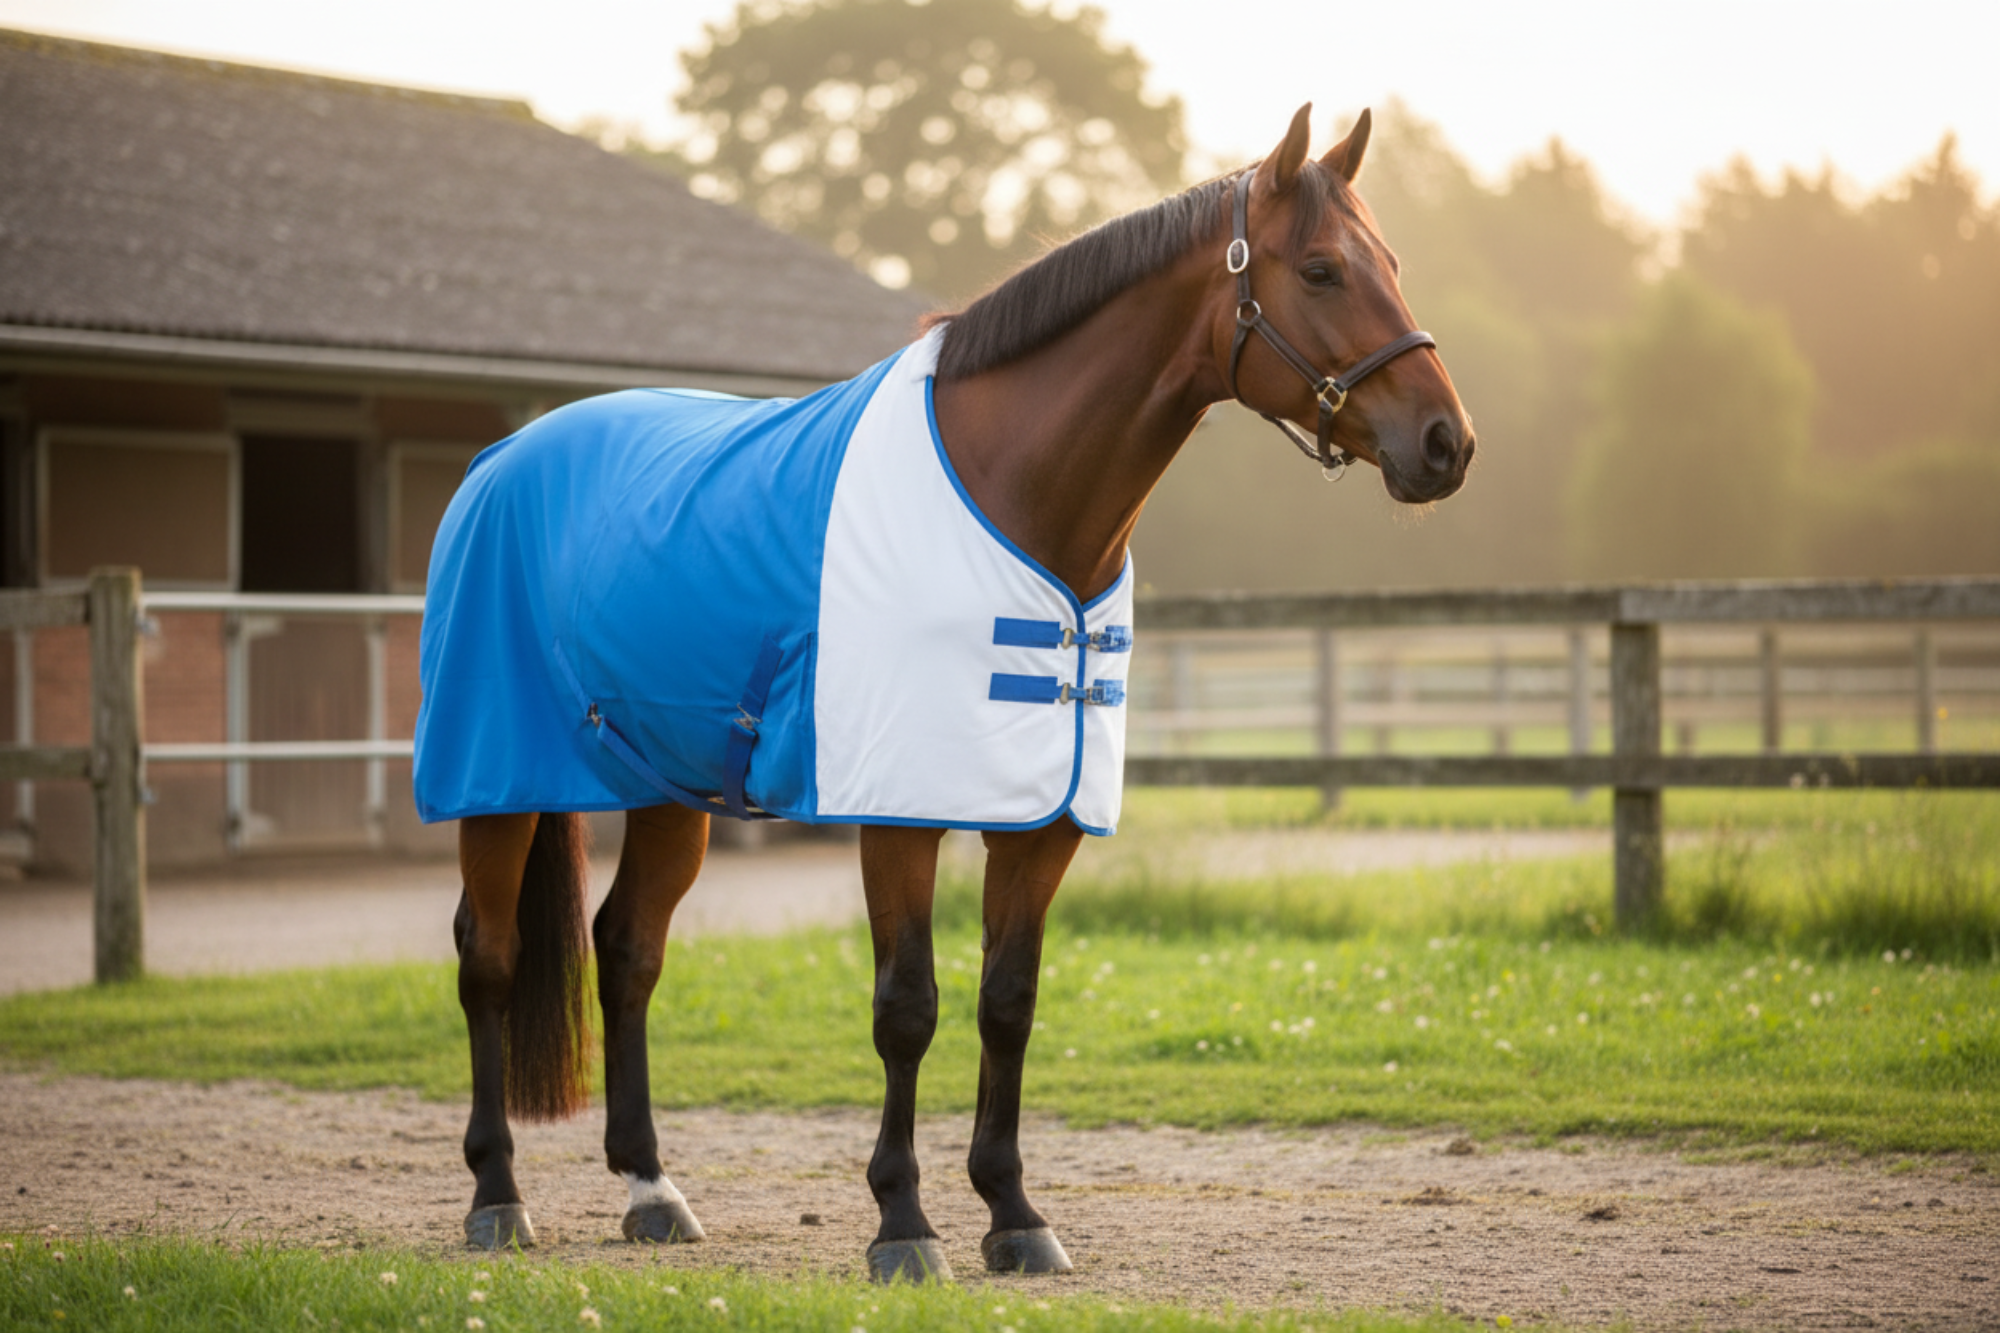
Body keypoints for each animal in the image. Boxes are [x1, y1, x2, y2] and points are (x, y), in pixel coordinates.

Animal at [420, 103, 1473, 1282]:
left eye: (1392, 263)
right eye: (1323, 269)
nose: (1446, 441)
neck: (1014, 491)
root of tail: (504, 454)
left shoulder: (1043, 821)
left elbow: (1006, 1003)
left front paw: (1013, 1213)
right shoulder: (899, 811)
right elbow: (907, 1007)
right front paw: (903, 1222)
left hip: (666, 789)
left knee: (627, 951)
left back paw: (651, 1188)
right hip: (497, 778)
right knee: (488, 956)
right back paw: (498, 1197)